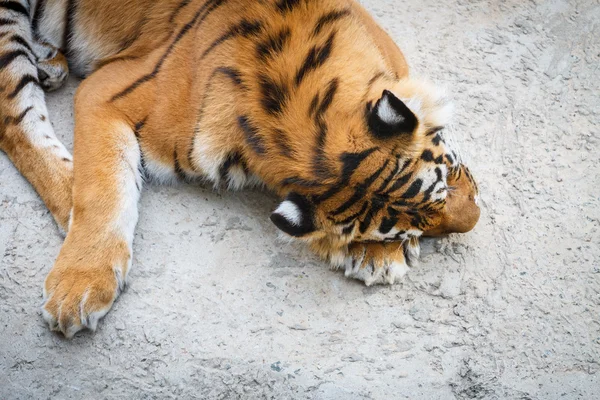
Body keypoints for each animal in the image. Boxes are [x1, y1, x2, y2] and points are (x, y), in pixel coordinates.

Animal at [0, 0, 478, 338]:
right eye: (408, 228)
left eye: (450, 174)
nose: (475, 220)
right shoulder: (108, 90)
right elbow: (104, 189)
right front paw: (79, 287)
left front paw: (375, 257)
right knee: (15, 120)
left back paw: (50, 60)